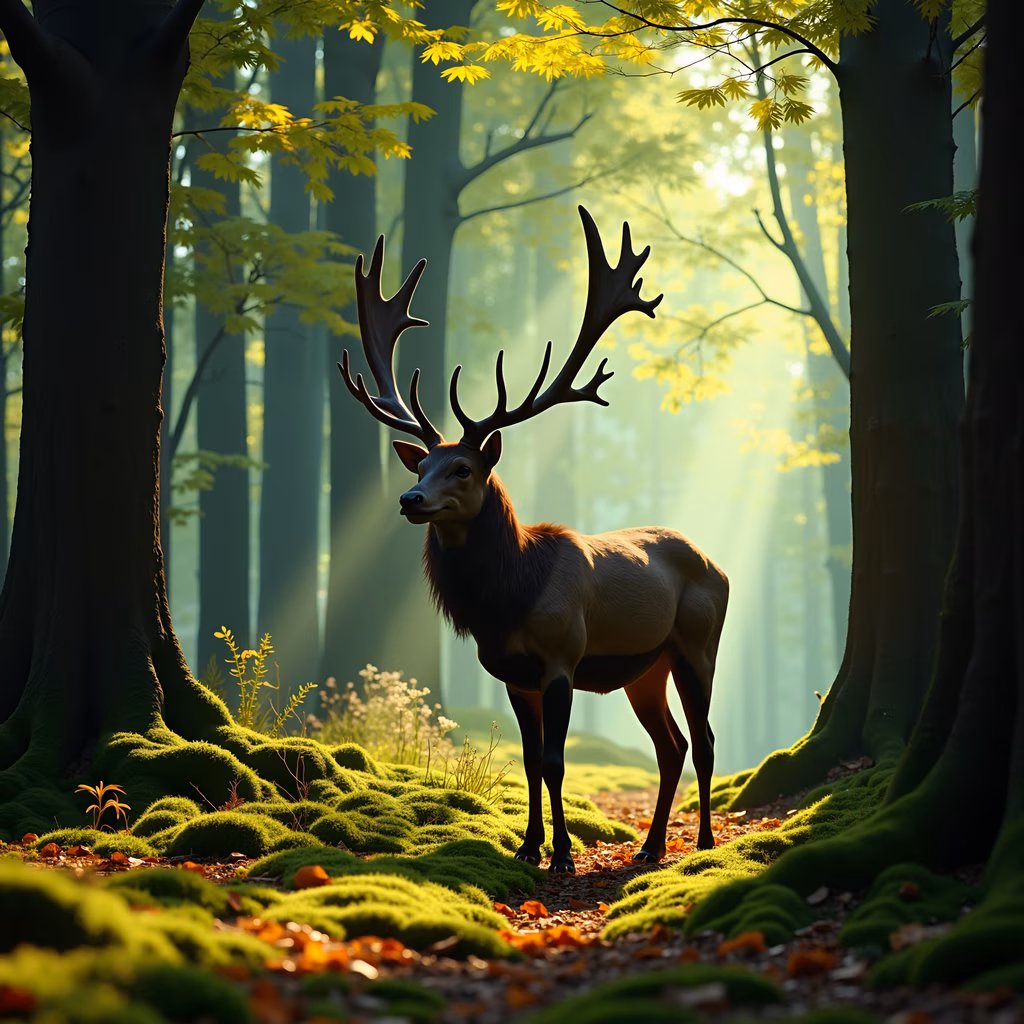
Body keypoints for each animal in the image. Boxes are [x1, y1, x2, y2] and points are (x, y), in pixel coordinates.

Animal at [338, 206, 728, 873]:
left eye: (462, 468)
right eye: (421, 466)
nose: (410, 500)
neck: (506, 600)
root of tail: (718, 565)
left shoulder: (562, 658)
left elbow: (554, 760)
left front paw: (564, 856)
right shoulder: (510, 674)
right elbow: (526, 761)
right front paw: (526, 848)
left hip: (697, 643)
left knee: (701, 738)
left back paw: (700, 842)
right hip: (643, 668)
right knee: (671, 743)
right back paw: (651, 846)